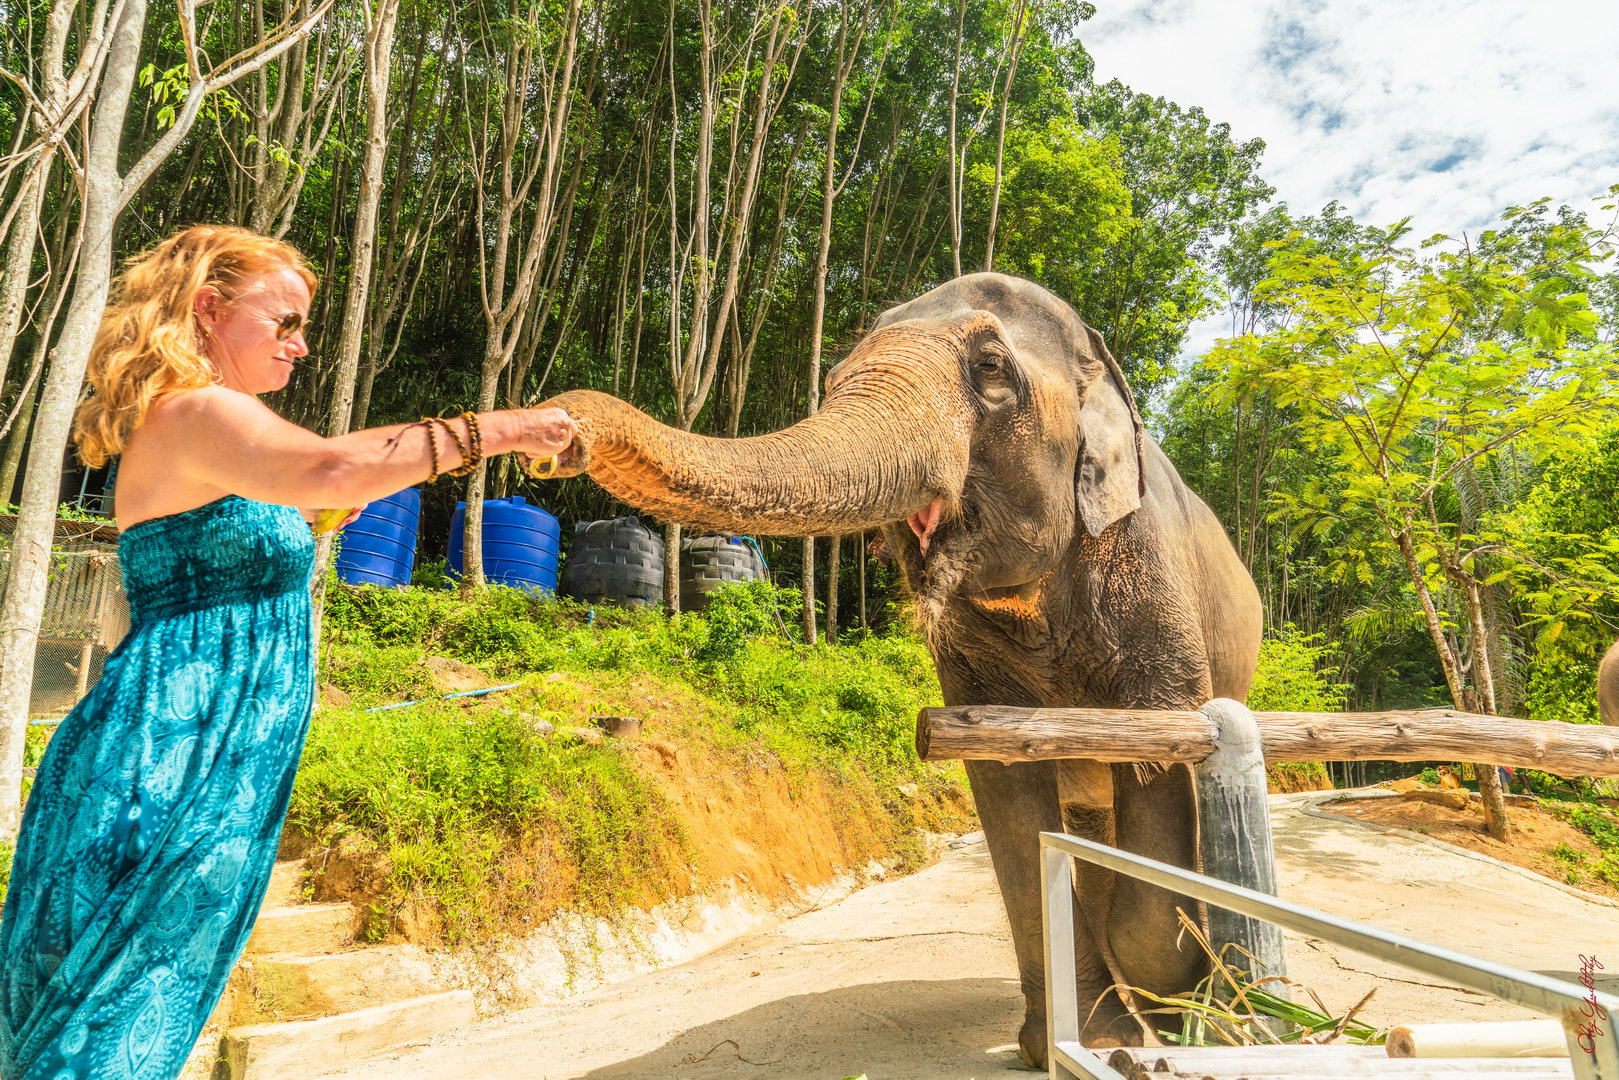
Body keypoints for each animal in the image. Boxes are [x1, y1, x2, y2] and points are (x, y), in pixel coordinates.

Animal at [543, 270, 1262, 1062]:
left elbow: (1165, 761)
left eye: (989, 369)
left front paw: (1174, 1017)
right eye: (831, 381)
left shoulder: (1148, 576)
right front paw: (1081, 1038)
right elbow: (1009, 798)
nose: (554, 427)